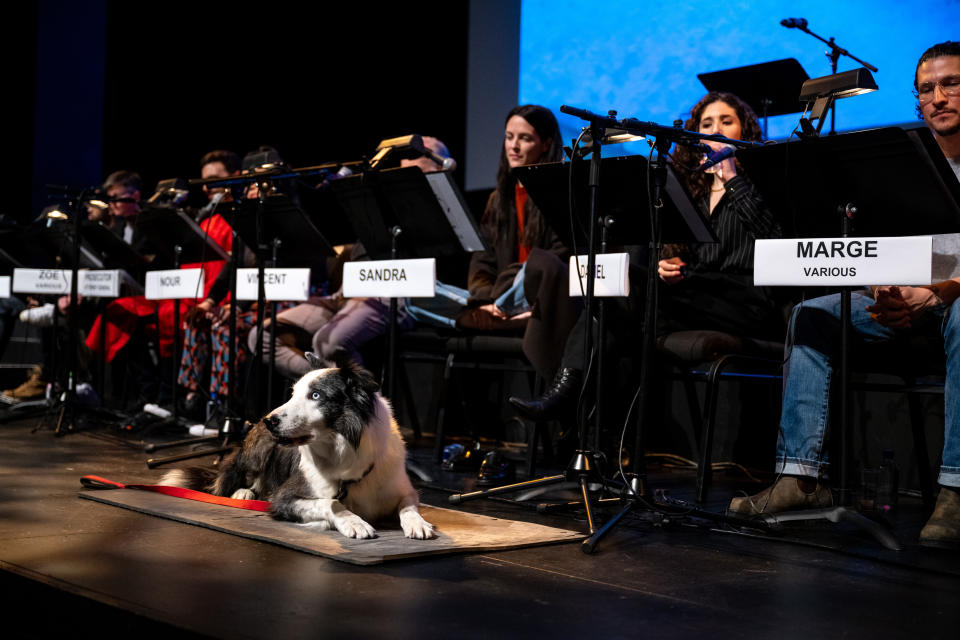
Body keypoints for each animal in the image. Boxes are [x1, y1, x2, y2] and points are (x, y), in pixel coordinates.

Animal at [164, 356, 436, 540]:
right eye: (293, 394)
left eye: (316, 396)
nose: (270, 420)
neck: (345, 453)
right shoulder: (283, 497)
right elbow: (330, 503)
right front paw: (352, 521)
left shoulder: (404, 490)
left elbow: (409, 506)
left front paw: (418, 522)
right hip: (256, 452)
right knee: (227, 482)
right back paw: (243, 492)